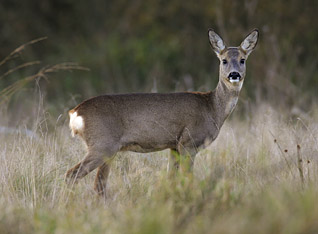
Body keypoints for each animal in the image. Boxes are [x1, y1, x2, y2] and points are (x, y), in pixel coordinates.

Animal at [65, 29, 258, 197]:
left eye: (242, 59)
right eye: (224, 60)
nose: (234, 74)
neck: (212, 107)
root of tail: (75, 113)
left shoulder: (174, 146)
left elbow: (171, 178)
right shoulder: (188, 143)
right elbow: (187, 178)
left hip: (107, 149)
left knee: (98, 184)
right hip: (102, 144)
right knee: (72, 174)